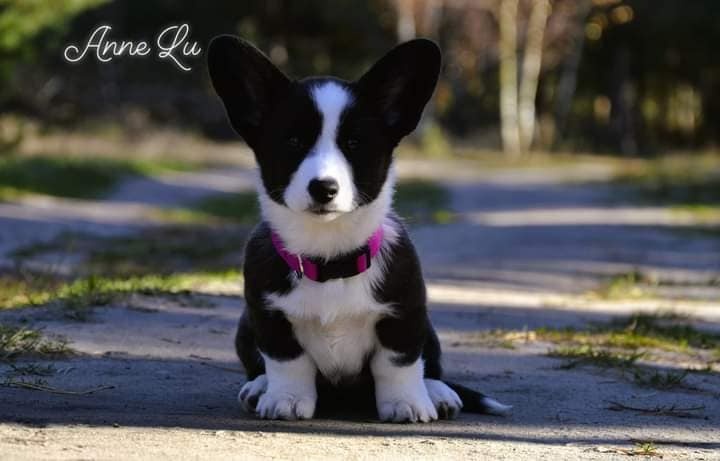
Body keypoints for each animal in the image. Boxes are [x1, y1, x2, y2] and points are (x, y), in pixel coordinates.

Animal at [207, 37, 512, 422]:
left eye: (354, 144)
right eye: (293, 142)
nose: (324, 188)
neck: (330, 258)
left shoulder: (405, 314)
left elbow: (399, 363)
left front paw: (406, 403)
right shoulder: (267, 315)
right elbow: (287, 359)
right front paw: (286, 398)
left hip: (429, 331)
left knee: (430, 366)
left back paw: (438, 393)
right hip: (245, 327)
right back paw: (259, 386)